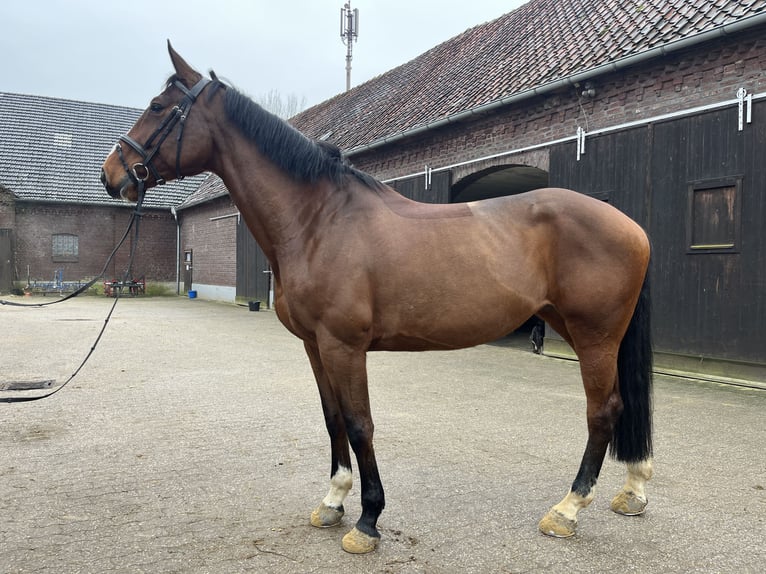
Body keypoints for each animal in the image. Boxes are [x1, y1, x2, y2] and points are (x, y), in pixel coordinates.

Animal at [100, 45, 656, 560]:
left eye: (157, 106)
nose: (111, 175)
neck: (319, 221)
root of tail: (631, 225)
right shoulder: (315, 346)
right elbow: (332, 419)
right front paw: (332, 501)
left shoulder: (344, 346)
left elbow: (359, 424)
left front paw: (367, 521)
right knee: (620, 409)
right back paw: (632, 491)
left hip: (594, 335)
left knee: (603, 411)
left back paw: (567, 509)